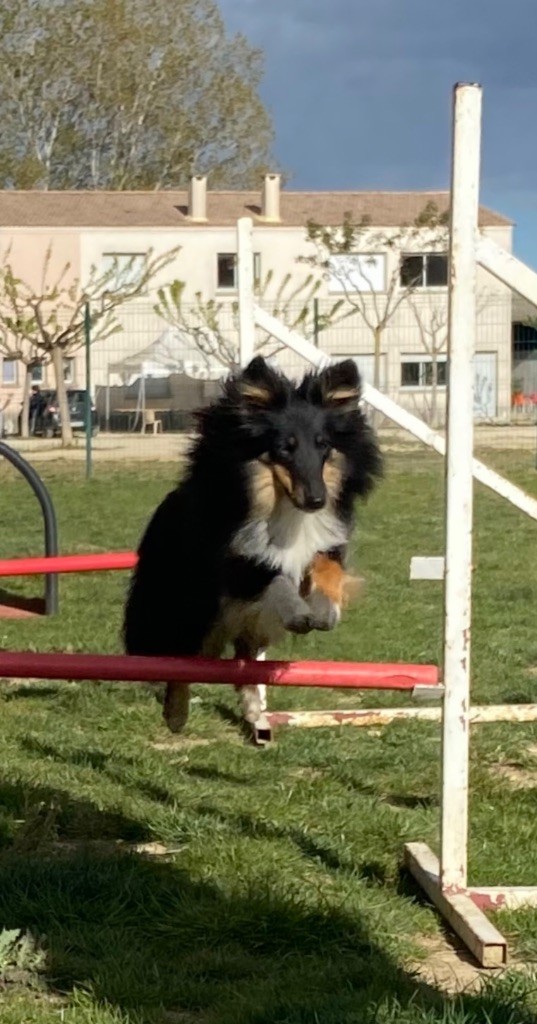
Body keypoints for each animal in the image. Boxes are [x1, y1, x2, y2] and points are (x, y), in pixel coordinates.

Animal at [122, 356, 381, 733]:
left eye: (323, 445)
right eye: (285, 448)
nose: (317, 500)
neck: (283, 507)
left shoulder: (328, 543)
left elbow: (326, 567)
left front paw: (325, 609)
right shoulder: (235, 564)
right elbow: (274, 578)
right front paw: (299, 612)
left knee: (242, 660)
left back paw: (255, 710)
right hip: (192, 605)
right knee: (183, 660)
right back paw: (176, 714)